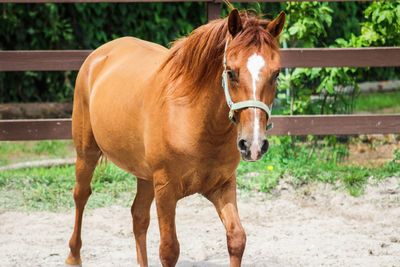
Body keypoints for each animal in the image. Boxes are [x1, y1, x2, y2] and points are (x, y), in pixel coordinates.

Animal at [65, 8, 284, 267]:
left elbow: (237, 238)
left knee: (138, 217)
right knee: (81, 196)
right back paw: (73, 257)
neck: (195, 121)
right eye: (231, 72)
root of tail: (99, 55)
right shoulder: (166, 190)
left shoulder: (222, 186)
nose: (253, 145)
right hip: (86, 154)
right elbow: (169, 250)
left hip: (144, 175)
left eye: (276, 74)